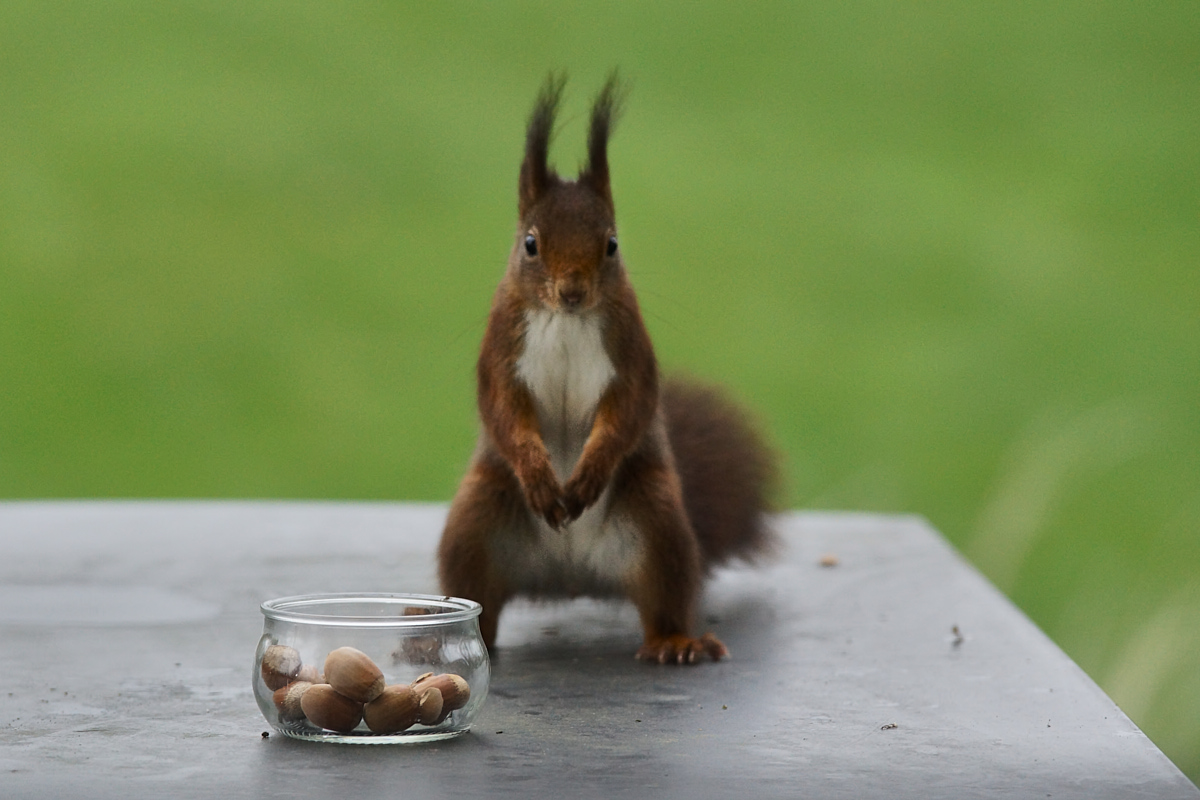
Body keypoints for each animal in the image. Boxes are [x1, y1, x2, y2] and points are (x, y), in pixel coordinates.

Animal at [436, 73, 772, 662]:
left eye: (612, 244)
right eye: (530, 244)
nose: (572, 291)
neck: (567, 320)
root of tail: (570, 577)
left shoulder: (630, 349)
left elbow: (629, 408)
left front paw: (588, 474)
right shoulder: (501, 350)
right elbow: (503, 408)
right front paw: (539, 474)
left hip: (658, 522)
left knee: (664, 598)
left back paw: (675, 641)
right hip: (475, 522)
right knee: (480, 603)